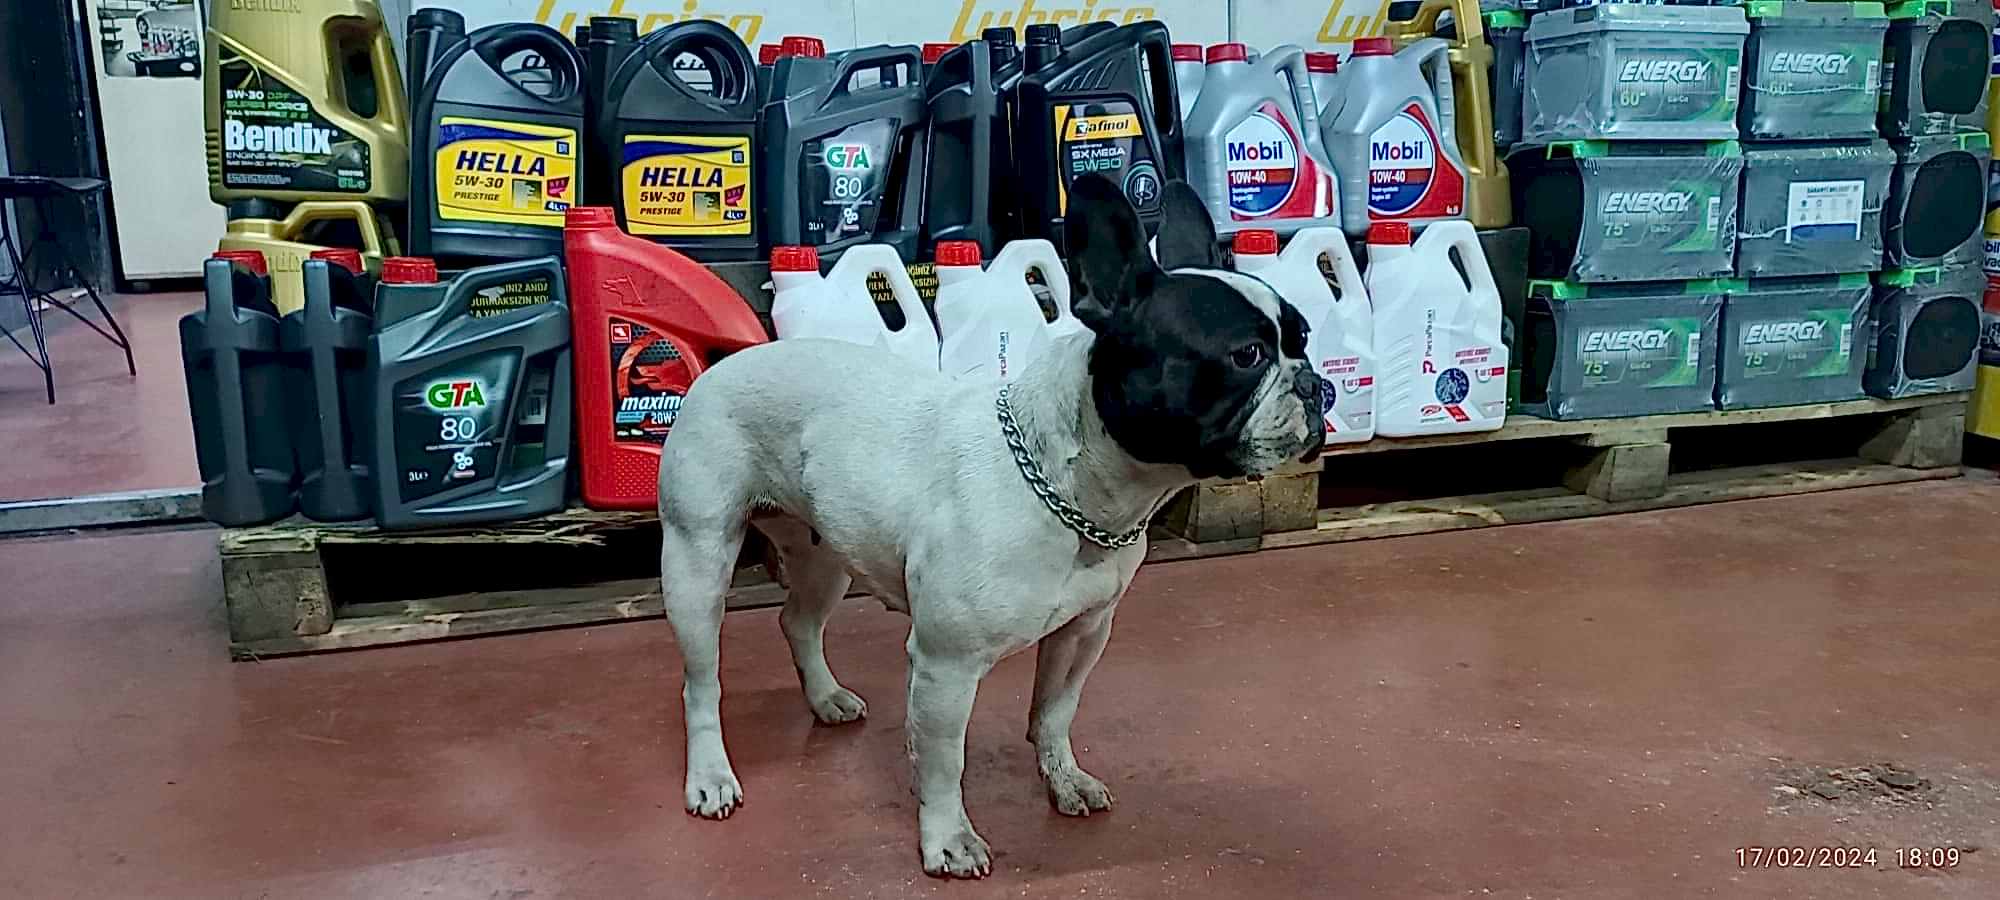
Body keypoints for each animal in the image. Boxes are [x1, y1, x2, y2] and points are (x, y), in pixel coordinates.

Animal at [656, 173, 1325, 878]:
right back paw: (711, 775)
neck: (1073, 491)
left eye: (1303, 340)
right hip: (698, 563)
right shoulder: (946, 664)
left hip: (827, 555)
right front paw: (947, 837)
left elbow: (1055, 713)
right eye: (1247, 356)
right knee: (700, 683)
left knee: (799, 621)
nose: (1314, 384)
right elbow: (945, 762)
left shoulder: (1084, 634)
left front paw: (1063, 779)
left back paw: (826, 697)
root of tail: (733, 359)